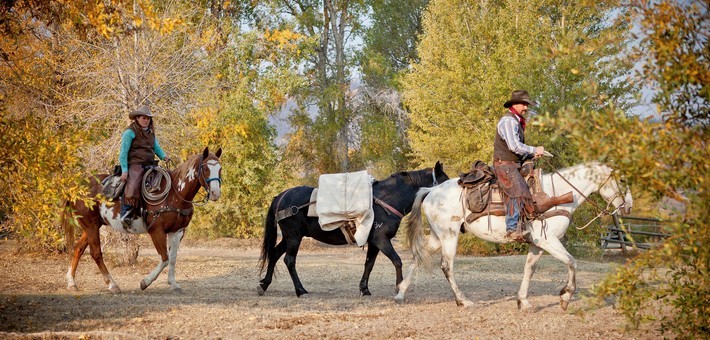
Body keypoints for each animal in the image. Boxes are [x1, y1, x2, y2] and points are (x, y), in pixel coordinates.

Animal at [66, 146, 224, 292]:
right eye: (205, 168)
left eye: (220, 168)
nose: (215, 193)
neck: (174, 193)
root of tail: (76, 188)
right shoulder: (156, 231)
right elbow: (165, 258)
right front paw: (145, 282)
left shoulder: (178, 231)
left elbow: (172, 259)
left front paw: (173, 284)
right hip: (91, 226)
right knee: (96, 253)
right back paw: (112, 284)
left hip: (91, 226)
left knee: (78, 248)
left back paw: (71, 282)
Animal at [258, 163, 448, 298]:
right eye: (445, 181)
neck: (387, 198)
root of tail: (281, 196)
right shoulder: (381, 239)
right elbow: (397, 260)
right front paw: (399, 288)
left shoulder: (374, 242)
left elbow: (369, 264)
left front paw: (364, 289)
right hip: (294, 237)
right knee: (289, 260)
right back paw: (300, 289)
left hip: (289, 237)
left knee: (274, 254)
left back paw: (264, 284)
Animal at [394, 162, 636, 310]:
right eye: (622, 180)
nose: (628, 206)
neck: (556, 194)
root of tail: (430, 191)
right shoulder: (548, 241)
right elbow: (572, 262)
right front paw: (566, 296)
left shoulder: (537, 244)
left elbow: (529, 269)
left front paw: (523, 301)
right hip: (449, 236)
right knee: (446, 266)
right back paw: (463, 301)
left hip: (438, 237)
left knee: (418, 257)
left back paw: (400, 294)